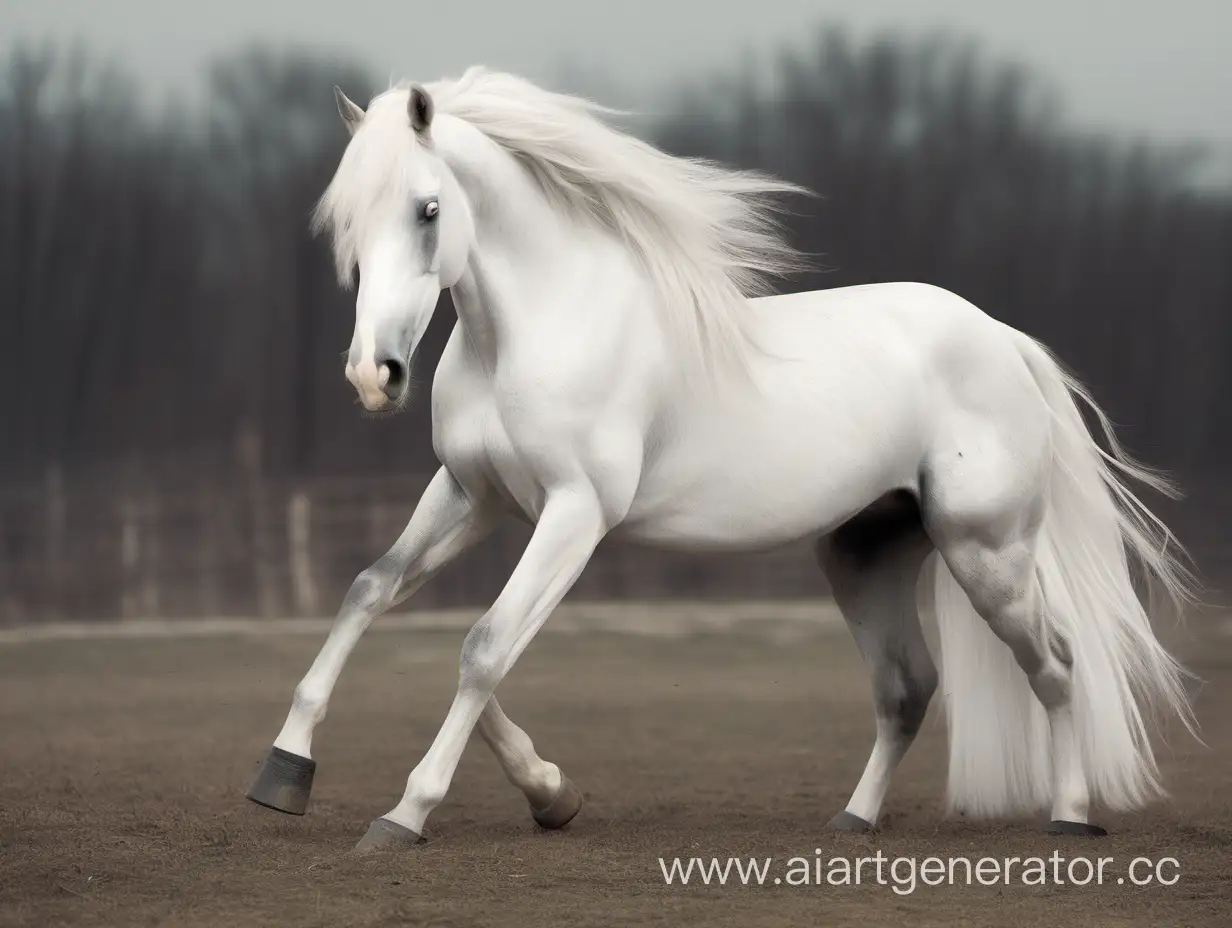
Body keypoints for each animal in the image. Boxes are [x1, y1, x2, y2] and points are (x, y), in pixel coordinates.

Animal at [242, 68, 1192, 852]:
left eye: (428, 209)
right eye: (349, 220)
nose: (374, 375)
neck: (534, 331)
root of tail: (1001, 339)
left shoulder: (574, 514)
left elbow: (483, 647)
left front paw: (405, 814)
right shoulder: (473, 497)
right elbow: (375, 592)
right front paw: (291, 772)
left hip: (986, 552)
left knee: (1056, 664)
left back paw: (1071, 818)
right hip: (867, 552)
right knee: (907, 688)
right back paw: (853, 821)